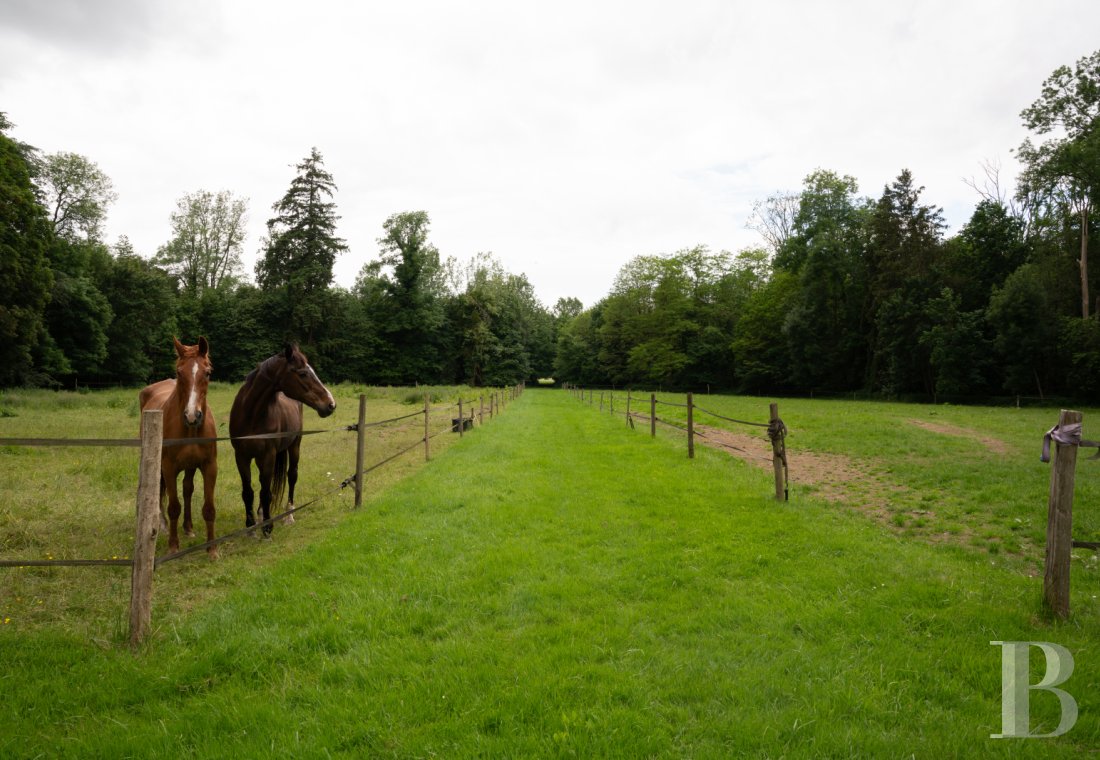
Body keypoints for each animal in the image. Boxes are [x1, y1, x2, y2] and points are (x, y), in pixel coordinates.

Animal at [138, 338, 217, 558]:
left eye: (208, 372)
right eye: (179, 372)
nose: (192, 415)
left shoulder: (210, 466)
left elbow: (209, 507)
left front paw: (212, 549)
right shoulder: (168, 467)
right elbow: (174, 506)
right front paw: (173, 546)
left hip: (190, 466)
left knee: (187, 489)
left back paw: (188, 527)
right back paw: (163, 525)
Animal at [228, 345, 332, 534]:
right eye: (303, 373)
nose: (330, 404)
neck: (252, 415)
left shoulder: (269, 454)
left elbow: (266, 492)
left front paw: (267, 528)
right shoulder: (241, 456)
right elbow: (248, 492)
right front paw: (251, 526)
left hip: (294, 446)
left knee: (291, 476)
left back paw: (289, 515)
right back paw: (261, 514)